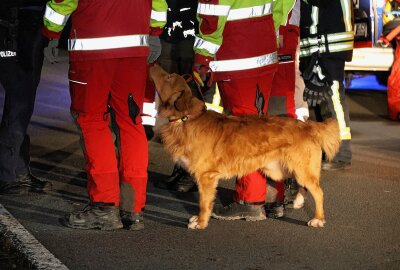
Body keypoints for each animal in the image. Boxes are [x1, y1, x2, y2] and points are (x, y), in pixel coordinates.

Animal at [148, 65, 340, 230]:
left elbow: (204, 203)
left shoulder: (206, 176)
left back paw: (318, 219)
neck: (186, 119)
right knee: (302, 185)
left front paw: (201, 222)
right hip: (282, 169)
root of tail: (308, 126)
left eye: (168, 77)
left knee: (318, 192)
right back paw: (298, 201)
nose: (153, 64)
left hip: (301, 168)